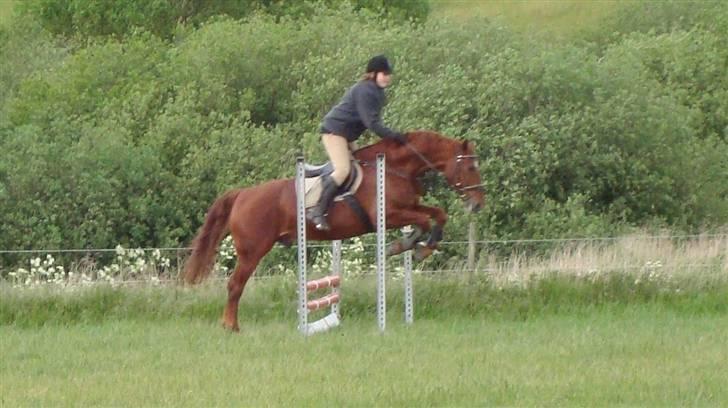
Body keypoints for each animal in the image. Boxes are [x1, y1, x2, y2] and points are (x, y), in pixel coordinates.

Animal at [185, 131, 486, 332]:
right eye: (471, 166)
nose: (478, 204)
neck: (396, 168)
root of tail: (243, 194)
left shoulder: (408, 208)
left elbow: (438, 214)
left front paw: (421, 245)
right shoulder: (388, 216)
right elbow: (424, 220)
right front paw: (408, 246)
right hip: (253, 251)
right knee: (235, 285)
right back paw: (231, 326)